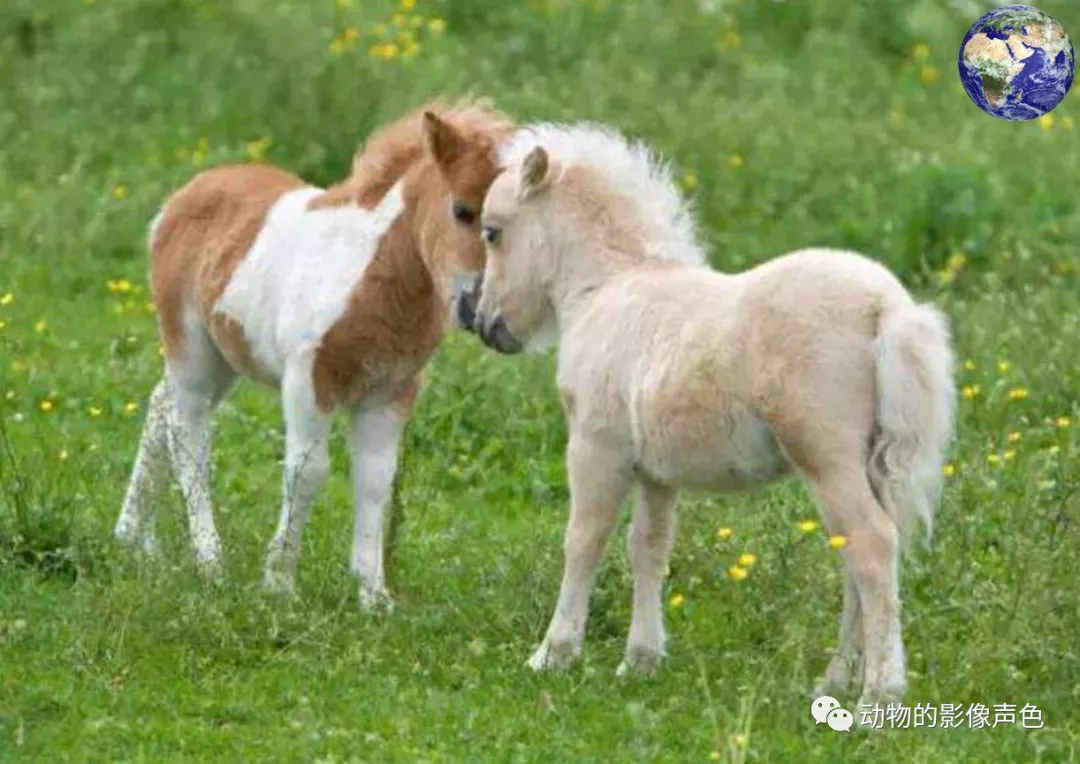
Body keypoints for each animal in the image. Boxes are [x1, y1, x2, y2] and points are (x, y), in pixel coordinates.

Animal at [113, 97, 514, 609]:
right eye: (461, 210)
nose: (481, 311)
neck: (374, 277)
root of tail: (179, 199)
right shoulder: (308, 379)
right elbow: (308, 472)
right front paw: (279, 584)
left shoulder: (391, 391)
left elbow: (375, 481)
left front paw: (373, 596)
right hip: (191, 347)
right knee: (189, 436)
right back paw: (209, 562)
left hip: (225, 357)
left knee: (160, 407)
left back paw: (134, 539)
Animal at [460, 122, 959, 708]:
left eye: (492, 232)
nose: (486, 324)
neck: (608, 288)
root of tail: (887, 307)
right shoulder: (656, 471)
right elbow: (648, 548)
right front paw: (640, 661)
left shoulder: (595, 447)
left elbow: (584, 540)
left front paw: (553, 654)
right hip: (867, 463)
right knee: (859, 557)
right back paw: (835, 679)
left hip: (826, 457)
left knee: (873, 545)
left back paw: (878, 694)